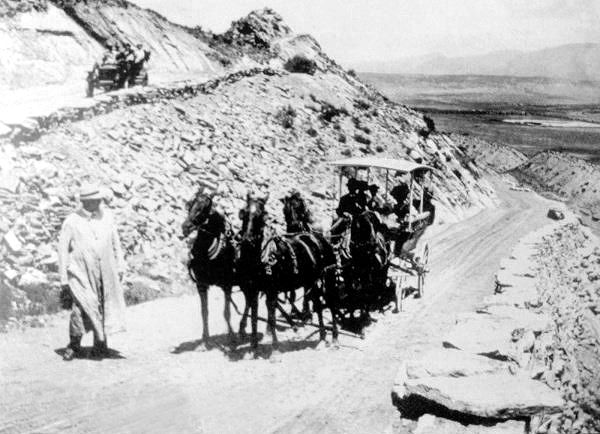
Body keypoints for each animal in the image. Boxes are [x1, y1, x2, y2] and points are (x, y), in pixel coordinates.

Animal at [182, 188, 238, 348]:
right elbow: (204, 312)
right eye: (190, 204)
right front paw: (205, 339)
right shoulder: (201, 285)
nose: (185, 227)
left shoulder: (227, 285)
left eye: (204, 208)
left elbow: (226, 312)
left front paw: (231, 338)